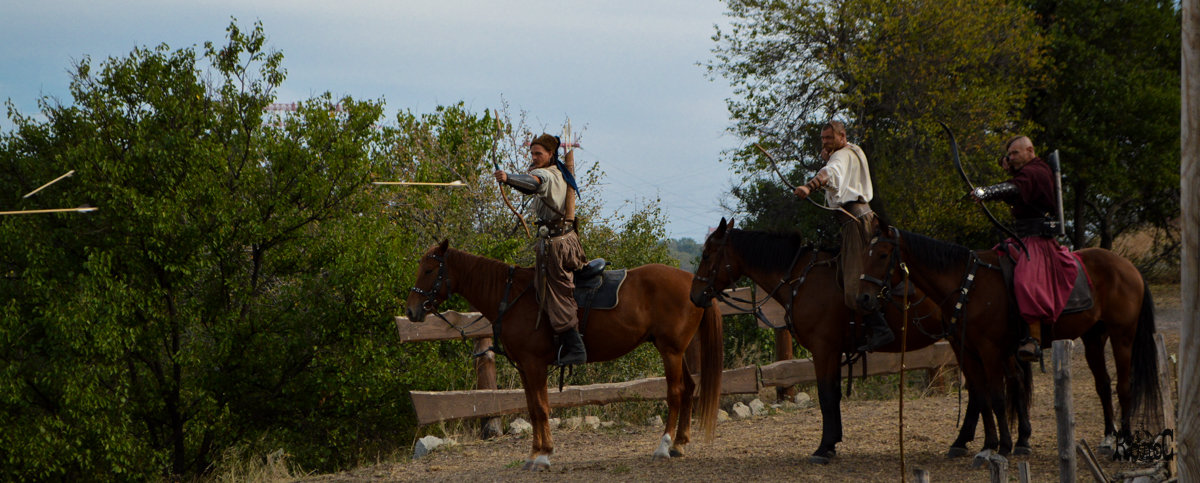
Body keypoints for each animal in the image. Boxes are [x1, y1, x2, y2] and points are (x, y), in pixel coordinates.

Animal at [405, 239, 720, 470]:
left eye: (430, 270)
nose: (411, 310)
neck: (515, 297)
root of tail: (693, 281)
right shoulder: (525, 367)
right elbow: (533, 408)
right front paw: (535, 453)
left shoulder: (535, 365)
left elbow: (541, 408)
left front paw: (543, 455)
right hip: (677, 351)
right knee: (690, 388)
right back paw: (680, 444)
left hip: (670, 351)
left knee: (676, 392)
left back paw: (664, 446)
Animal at [691, 217, 1027, 461]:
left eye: (707, 254)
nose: (695, 295)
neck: (800, 277)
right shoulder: (833, 352)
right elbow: (835, 395)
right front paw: (833, 441)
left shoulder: (824, 350)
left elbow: (827, 396)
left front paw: (824, 448)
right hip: (970, 344)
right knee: (994, 385)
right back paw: (985, 441)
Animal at [859, 221, 1166, 454]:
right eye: (866, 254)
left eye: (883, 255)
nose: (864, 298)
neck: (967, 283)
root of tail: (1130, 268)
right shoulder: (966, 351)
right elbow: (983, 396)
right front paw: (991, 444)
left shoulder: (990, 351)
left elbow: (996, 396)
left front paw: (1004, 444)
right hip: (1093, 338)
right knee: (1103, 384)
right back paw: (1108, 437)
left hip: (1122, 336)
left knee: (1124, 386)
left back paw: (1124, 440)